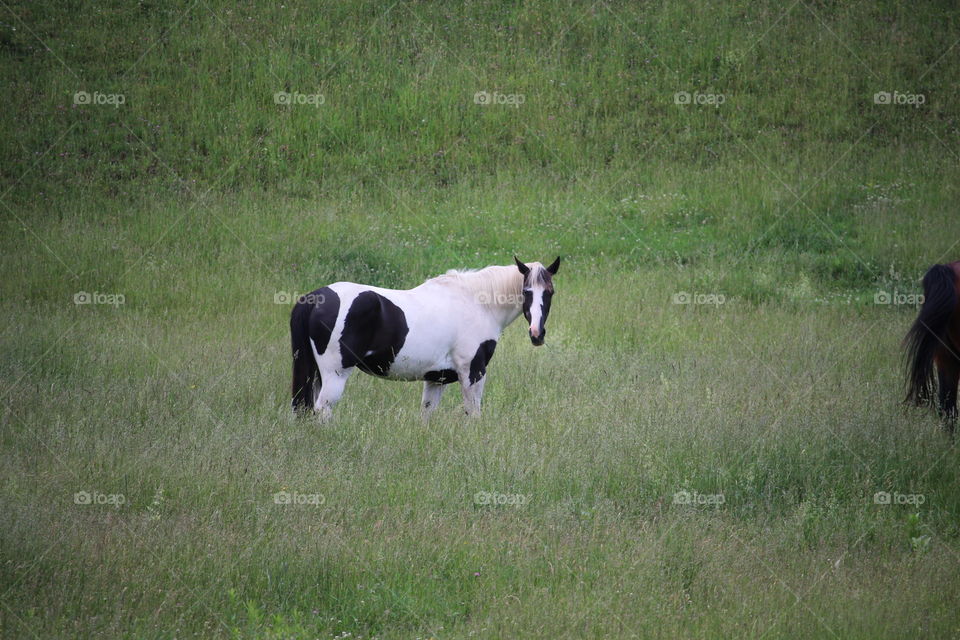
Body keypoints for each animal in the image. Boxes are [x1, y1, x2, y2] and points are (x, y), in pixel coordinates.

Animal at [290, 257, 560, 420]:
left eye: (550, 292)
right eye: (526, 291)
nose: (537, 334)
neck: (477, 303)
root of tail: (315, 298)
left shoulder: (435, 379)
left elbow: (427, 415)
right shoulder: (473, 373)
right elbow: (473, 413)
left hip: (313, 373)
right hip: (334, 375)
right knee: (322, 410)